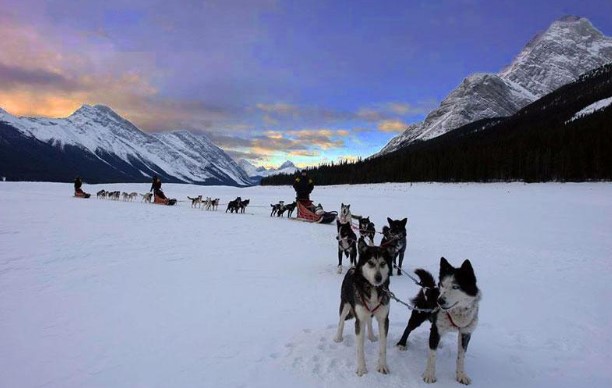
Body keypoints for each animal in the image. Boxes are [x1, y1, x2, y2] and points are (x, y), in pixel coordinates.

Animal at [334, 246, 392, 376]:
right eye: (370, 263)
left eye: (383, 263)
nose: (378, 278)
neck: (373, 289)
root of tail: (352, 268)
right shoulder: (359, 320)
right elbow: (360, 348)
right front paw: (361, 369)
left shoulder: (384, 319)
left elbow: (383, 347)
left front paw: (382, 366)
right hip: (345, 304)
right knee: (341, 321)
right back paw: (338, 337)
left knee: (369, 321)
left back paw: (371, 335)